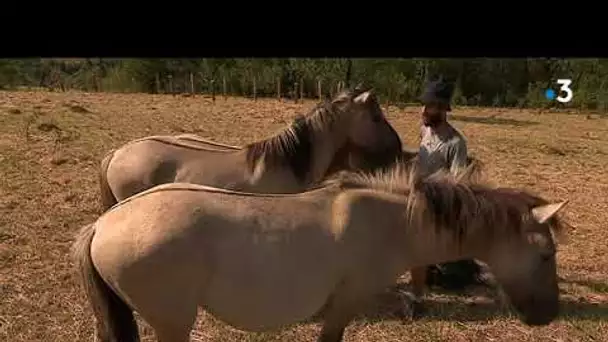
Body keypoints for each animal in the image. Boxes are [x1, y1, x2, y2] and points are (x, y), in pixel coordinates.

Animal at [72, 162, 568, 342]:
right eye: (547, 255)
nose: (547, 316)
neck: (393, 225)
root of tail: (103, 223)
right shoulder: (346, 302)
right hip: (172, 322)